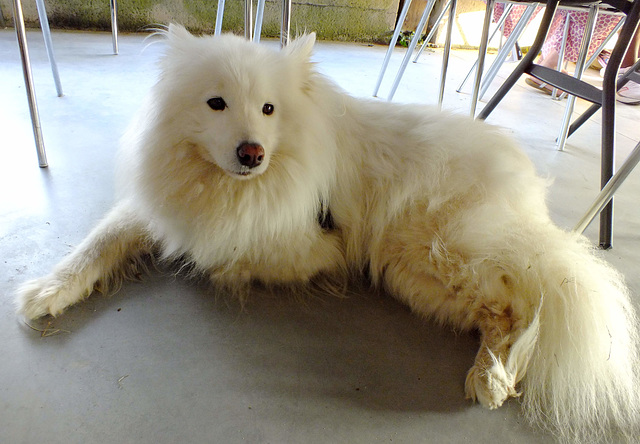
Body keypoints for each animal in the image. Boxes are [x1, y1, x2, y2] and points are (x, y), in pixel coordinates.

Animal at [17, 26, 636, 442]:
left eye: (268, 109)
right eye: (216, 104)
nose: (252, 152)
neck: (228, 186)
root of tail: (525, 191)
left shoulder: (307, 244)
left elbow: (219, 254)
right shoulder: (158, 210)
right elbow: (99, 242)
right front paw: (47, 291)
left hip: (422, 253)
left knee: (521, 303)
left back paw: (492, 377)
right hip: (418, 273)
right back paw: (494, 374)